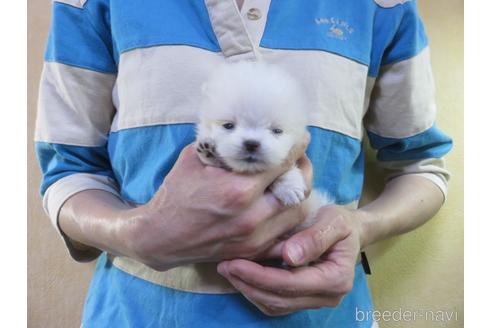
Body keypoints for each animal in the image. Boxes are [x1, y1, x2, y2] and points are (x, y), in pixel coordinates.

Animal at [195, 60, 330, 227]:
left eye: (277, 131)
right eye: (228, 125)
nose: (251, 144)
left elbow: (286, 170)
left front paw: (289, 186)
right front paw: (209, 151)